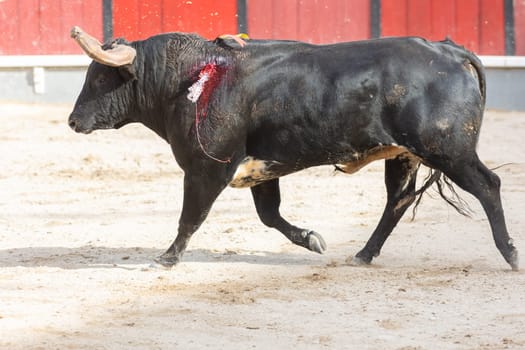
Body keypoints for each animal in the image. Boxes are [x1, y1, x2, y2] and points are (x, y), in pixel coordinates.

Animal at [68, 27, 516, 270]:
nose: (73, 121)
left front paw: (167, 257)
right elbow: (269, 216)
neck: (192, 80)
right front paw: (312, 239)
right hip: (406, 155)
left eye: (100, 78)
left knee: (488, 186)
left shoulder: (205, 168)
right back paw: (363, 254)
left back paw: (510, 254)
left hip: (448, 150)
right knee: (398, 201)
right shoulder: (259, 169)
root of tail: (448, 49)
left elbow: (190, 218)